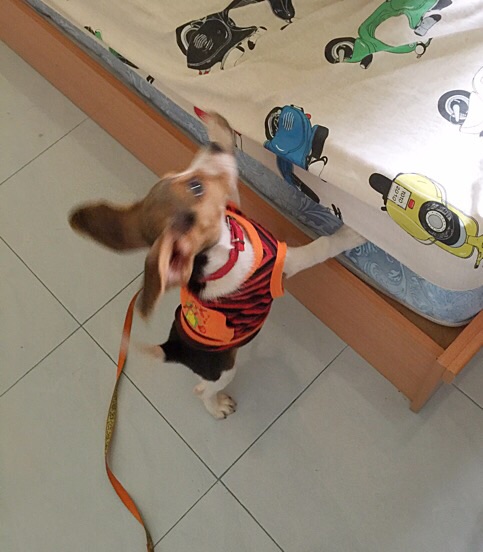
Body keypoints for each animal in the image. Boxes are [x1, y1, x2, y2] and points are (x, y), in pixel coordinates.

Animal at [69, 113, 365, 419]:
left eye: (179, 175)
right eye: (196, 188)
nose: (212, 145)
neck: (228, 249)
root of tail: (172, 348)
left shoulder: (231, 205)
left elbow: (231, 184)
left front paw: (218, 129)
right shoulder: (286, 264)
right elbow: (321, 246)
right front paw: (352, 235)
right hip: (224, 370)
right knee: (201, 390)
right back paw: (218, 406)